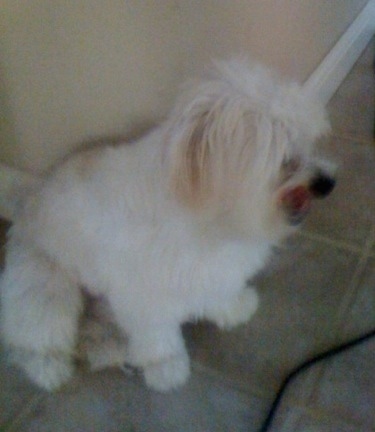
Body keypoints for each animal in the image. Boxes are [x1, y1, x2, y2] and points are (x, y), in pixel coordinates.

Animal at [0, 59, 334, 394]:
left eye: (309, 141)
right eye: (286, 160)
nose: (327, 183)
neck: (206, 218)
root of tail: (26, 203)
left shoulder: (214, 271)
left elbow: (220, 294)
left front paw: (235, 308)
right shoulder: (143, 297)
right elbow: (157, 337)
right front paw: (167, 367)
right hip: (45, 291)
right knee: (33, 338)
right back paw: (49, 368)